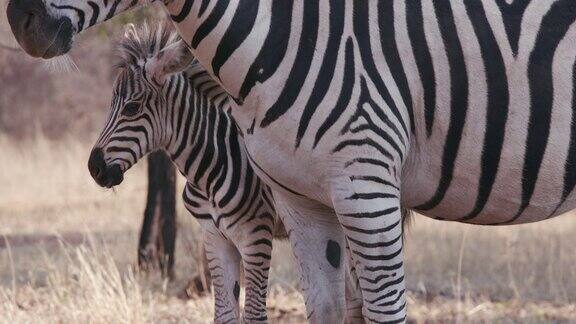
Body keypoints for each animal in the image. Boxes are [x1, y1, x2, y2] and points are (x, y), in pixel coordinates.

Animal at [10, 0, 576, 322]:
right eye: (113, 105)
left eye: (131, 108)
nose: (94, 168)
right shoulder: (215, 237)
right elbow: (225, 315)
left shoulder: (257, 234)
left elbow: (255, 314)